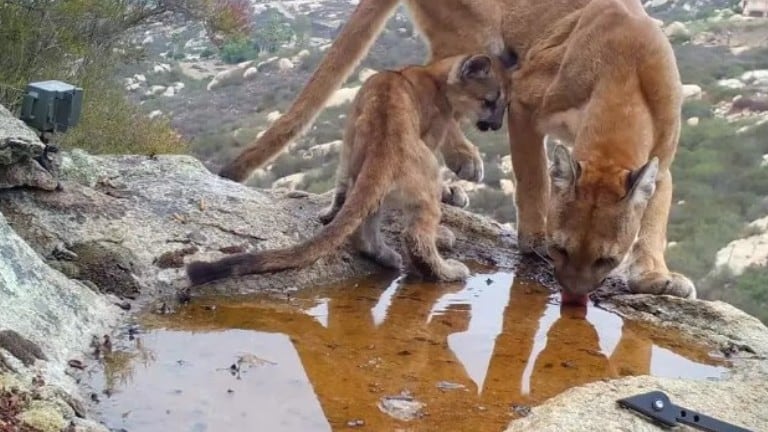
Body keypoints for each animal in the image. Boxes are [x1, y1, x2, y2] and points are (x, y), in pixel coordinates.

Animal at [186, 52, 510, 286]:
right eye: (490, 101)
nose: (497, 125)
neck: (432, 76)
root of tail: (384, 148)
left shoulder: (348, 137)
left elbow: (340, 181)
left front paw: (329, 212)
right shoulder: (434, 133)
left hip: (366, 172)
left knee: (361, 224)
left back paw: (384, 255)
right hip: (425, 175)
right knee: (415, 237)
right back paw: (447, 270)